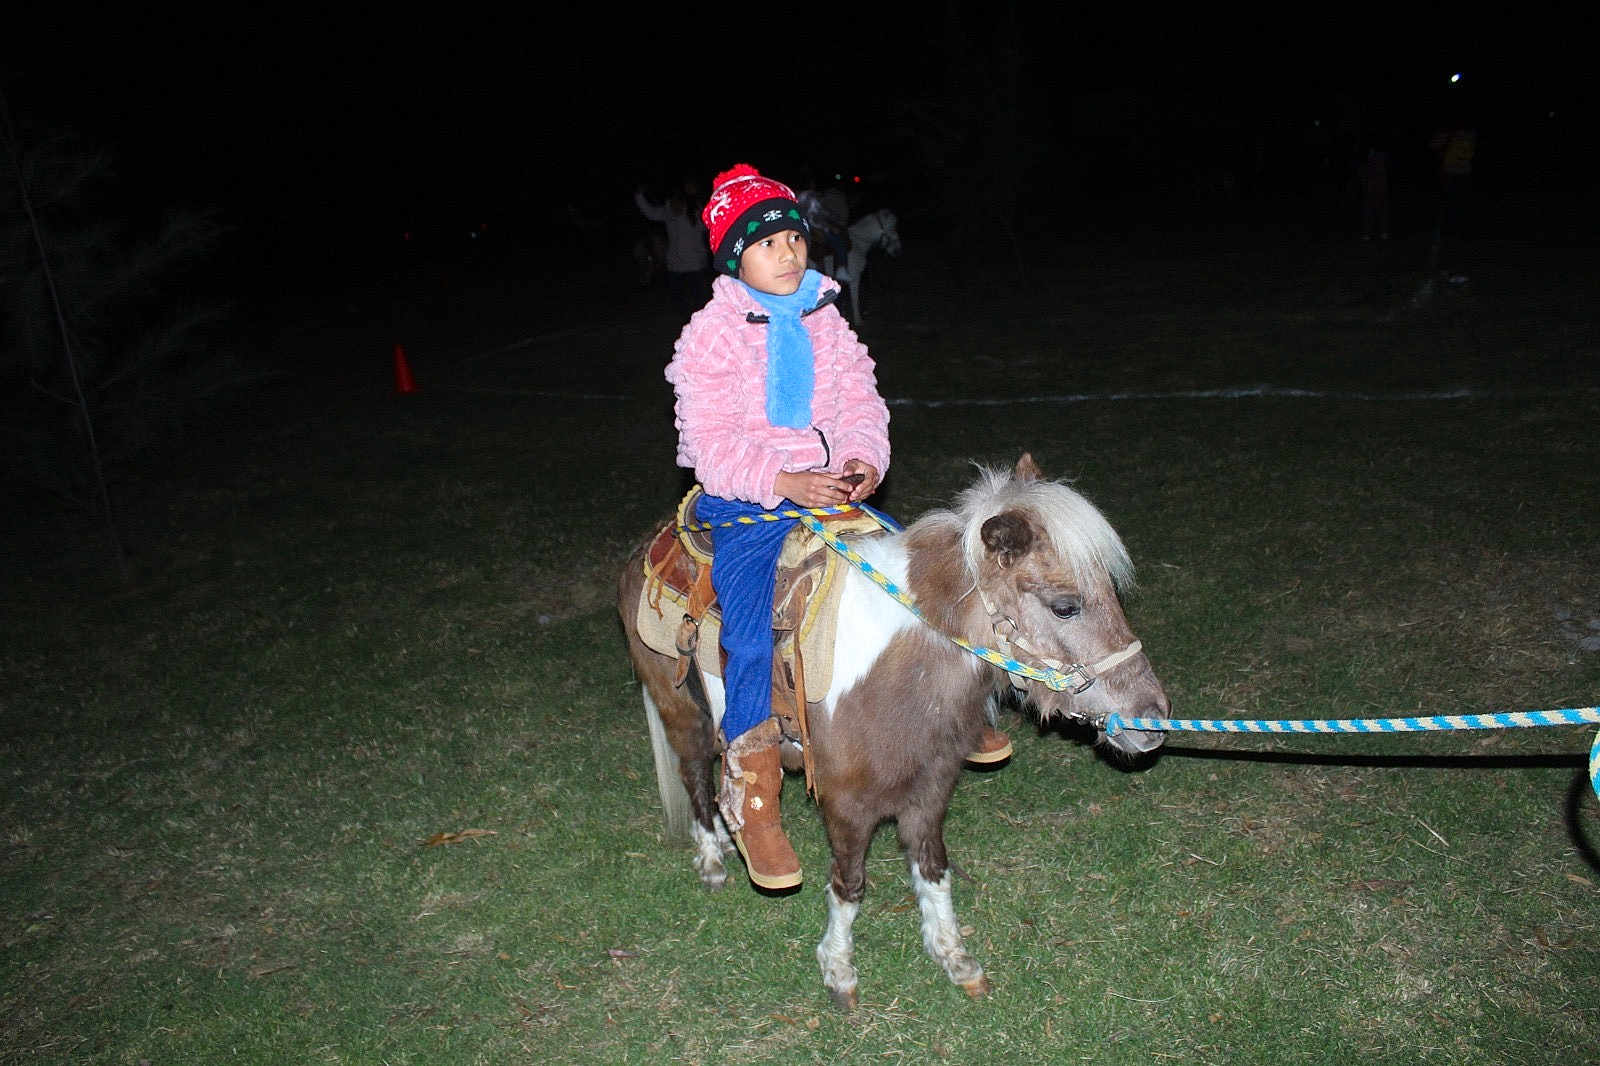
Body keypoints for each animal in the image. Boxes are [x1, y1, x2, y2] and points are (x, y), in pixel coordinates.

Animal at [616, 454, 1170, 1009]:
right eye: (1064, 606)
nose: (1153, 720)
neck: (894, 668)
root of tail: (650, 544)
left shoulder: (932, 786)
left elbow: (933, 866)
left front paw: (953, 955)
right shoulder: (844, 804)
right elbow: (849, 884)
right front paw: (838, 968)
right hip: (682, 712)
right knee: (696, 777)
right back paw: (714, 857)